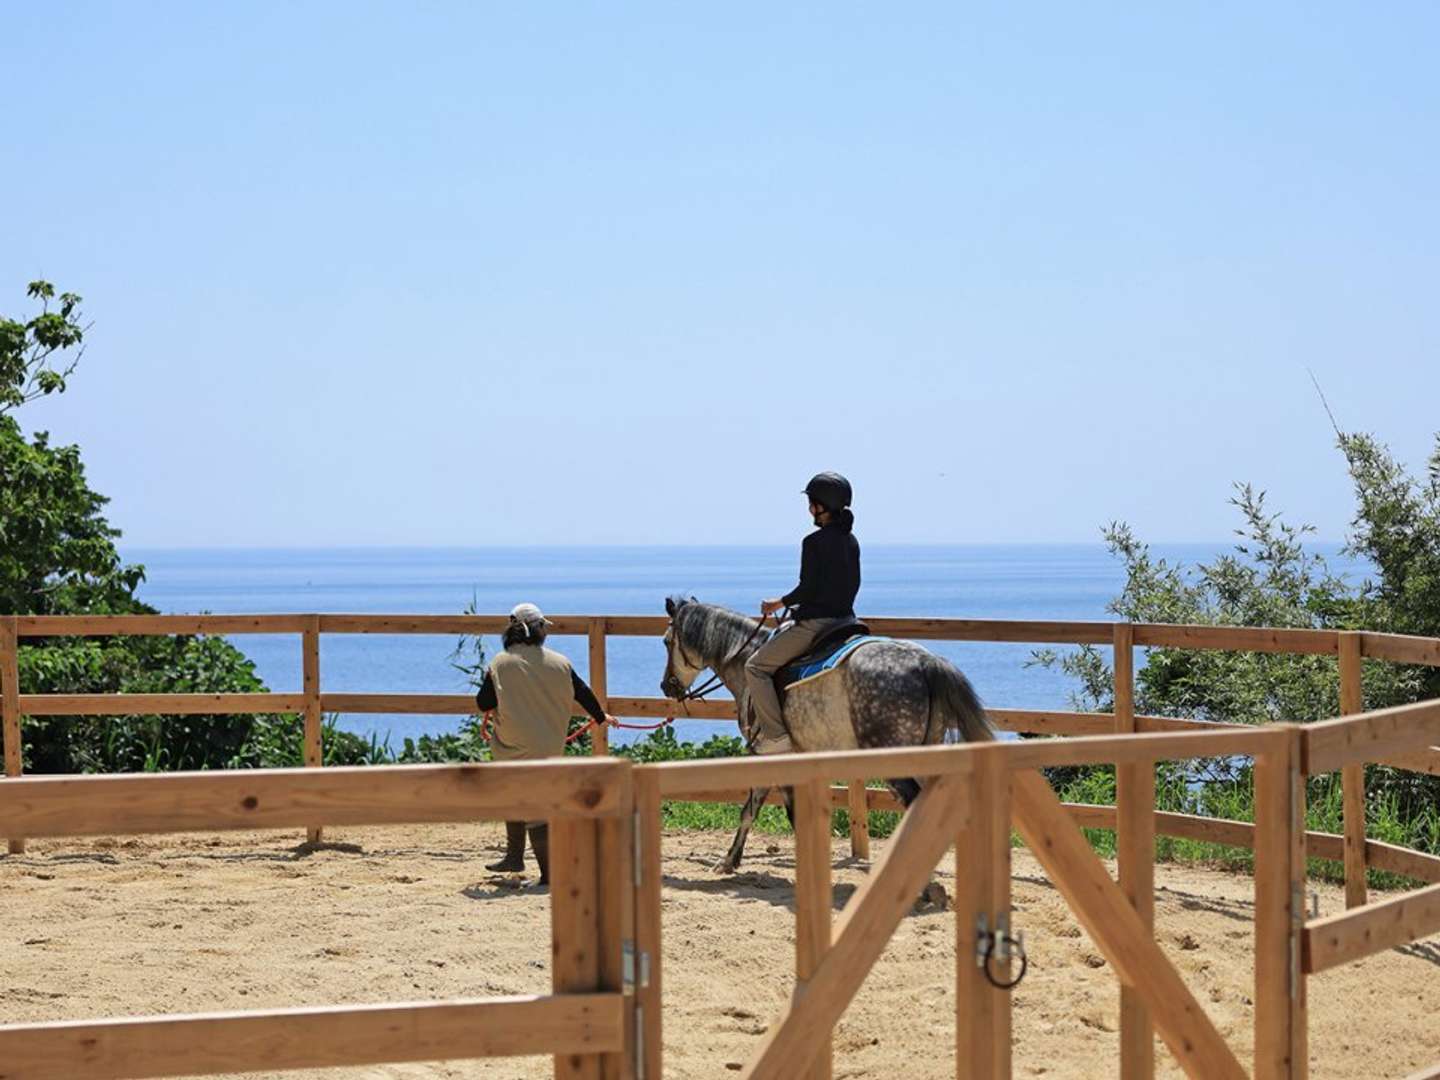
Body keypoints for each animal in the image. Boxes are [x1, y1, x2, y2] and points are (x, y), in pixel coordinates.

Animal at [659, 596, 993, 872]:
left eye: (666, 641)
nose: (667, 686)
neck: (745, 660)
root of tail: (926, 663)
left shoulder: (766, 752)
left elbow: (757, 809)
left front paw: (729, 860)